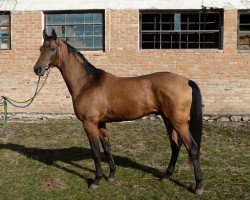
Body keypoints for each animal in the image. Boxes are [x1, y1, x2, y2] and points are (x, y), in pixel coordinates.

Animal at [33, 29, 203, 195]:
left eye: (52, 48)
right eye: (41, 48)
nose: (37, 69)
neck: (87, 83)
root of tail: (186, 80)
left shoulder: (89, 123)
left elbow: (95, 151)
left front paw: (96, 180)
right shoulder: (100, 123)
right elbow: (107, 147)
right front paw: (111, 175)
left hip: (178, 122)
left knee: (192, 147)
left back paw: (198, 186)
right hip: (168, 120)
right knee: (175, 146)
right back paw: (166, 176)